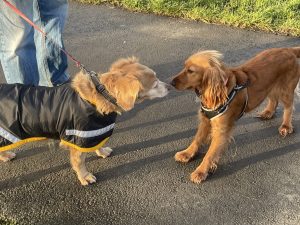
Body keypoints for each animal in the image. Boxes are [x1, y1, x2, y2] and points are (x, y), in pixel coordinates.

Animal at [171, 47, 300, 183]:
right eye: (184, 67)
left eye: (190, 71)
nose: (171, 82)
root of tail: (287, 49)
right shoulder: (206, 120)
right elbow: (197, 139)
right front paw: (186, 153)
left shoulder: (221, 130)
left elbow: (209, 154)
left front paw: (201, 171)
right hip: (269, 86)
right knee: (273, 99)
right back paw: (268, 113)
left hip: (286, 90)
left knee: (288, 107)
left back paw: (286, 126)